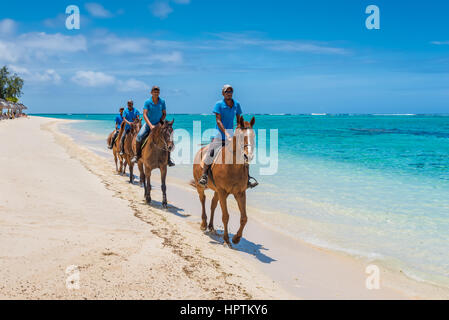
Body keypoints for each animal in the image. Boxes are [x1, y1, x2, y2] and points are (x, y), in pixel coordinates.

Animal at [192, 116, 256, 246]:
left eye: (253, 136)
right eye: (241, 137)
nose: (249, 156)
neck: (232, 166)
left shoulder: (240, 193)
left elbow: (244, 218)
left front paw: (236, 238)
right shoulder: (222, 191)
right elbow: (225, 216)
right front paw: (226, 240)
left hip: (217, 191)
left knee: (213, 204)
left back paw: (211, 226)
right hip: (201, 186)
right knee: (203, 200)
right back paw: (203, 224)